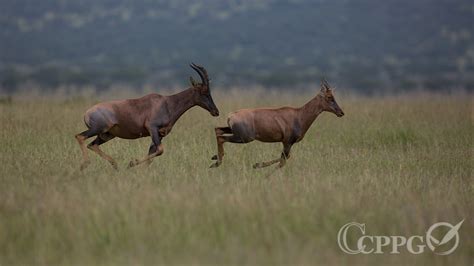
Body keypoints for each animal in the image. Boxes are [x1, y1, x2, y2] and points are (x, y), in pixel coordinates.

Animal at [75, 63, 219, 169]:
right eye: (204, 92)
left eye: (210, 91)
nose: (216, 111)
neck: (167, 103)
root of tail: (87, 112)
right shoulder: (152, 128)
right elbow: (160, 150)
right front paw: (132, 163)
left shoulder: (160, 135)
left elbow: (152, 153)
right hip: (98, 129)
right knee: (80, 137)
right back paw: (85, 164)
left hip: (107, 134)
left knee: (92, 145)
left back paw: (114, 164)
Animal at [209, 80, 342, 169]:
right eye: (329, 97)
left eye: (333, 96)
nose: (341, 112)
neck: (299, 114)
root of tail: (231, 115)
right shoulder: (287, 142)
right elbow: (283, 160)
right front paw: (258, 166)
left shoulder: (287, 143)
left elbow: (285, 158)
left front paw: (257, 165)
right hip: (244, 138)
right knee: (221, 137)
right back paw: (217, 162)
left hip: (233, 131)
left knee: (218, 130)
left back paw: (215, 158)